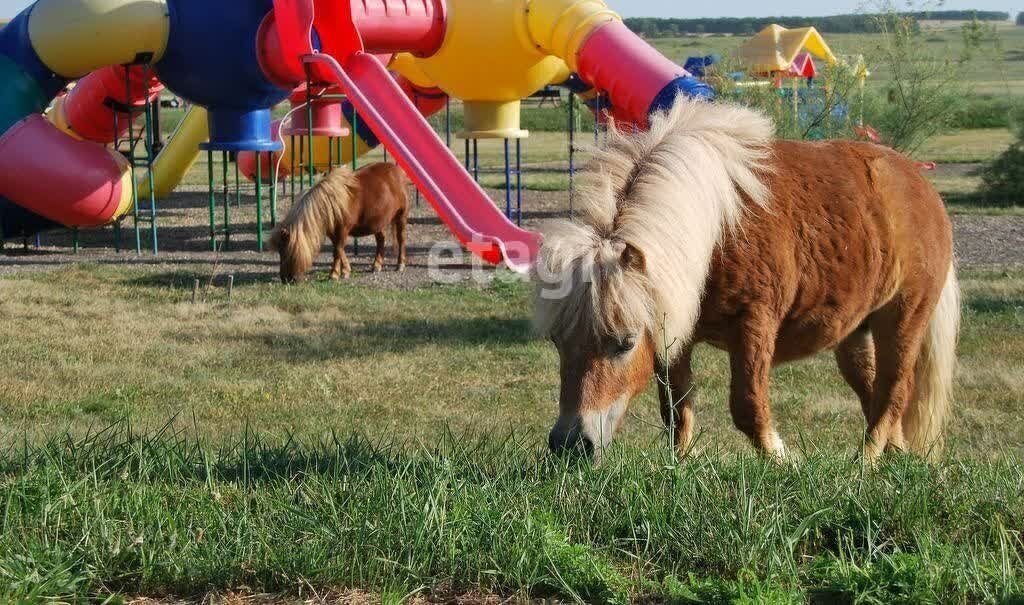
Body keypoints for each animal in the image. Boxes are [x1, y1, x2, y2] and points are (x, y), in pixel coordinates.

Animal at [270, 161, 409, 282]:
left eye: (285, 252)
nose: (285, 279)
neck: (329, 203)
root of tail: (397, 170)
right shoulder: (333, 232)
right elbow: (338, 250)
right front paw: (345, 270)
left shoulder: (343, 229)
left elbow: (337, 250)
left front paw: (335, 274)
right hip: (377, 222)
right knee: (381, 240)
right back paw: (377, 265)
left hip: (401, 216)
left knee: (401, 239)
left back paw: (400, 264)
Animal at [536, 98, 958, 464]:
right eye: (557, 341)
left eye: (625, 343)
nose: (571, 445)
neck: (716, 229)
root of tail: (920, 183)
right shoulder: (674, 328)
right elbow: (676, 407)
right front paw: (679, 465)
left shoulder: (754, 324)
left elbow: (747, 406)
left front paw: (782, 460)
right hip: (855, 332)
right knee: (874, 393)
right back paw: (896, 458)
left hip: (903, 318)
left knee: (893, 392)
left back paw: (864, 465)